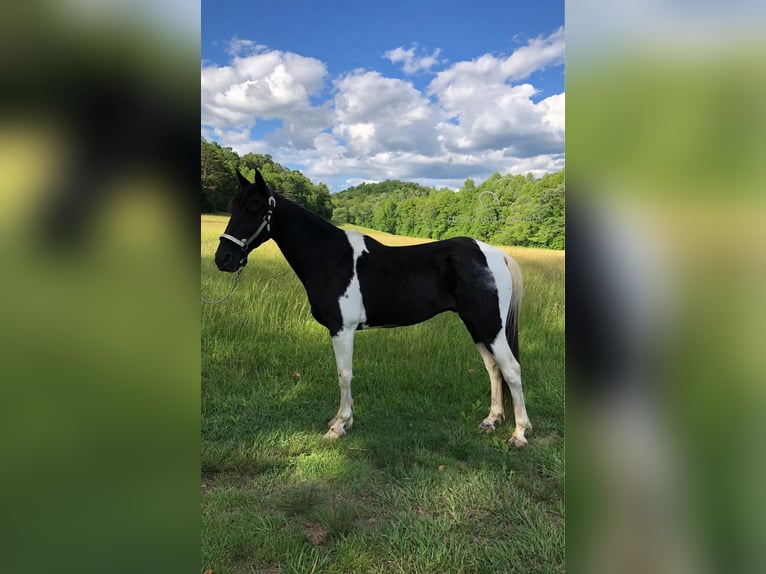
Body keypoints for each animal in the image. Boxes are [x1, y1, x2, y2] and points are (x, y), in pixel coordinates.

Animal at [214, 169, 536, 448]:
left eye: (254, 208)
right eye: (232, 206)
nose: (224, 259)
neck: (331, 258)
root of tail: (496, 255)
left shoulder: (341, 330)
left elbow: (344, 375)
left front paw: (339, 426)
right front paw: (341, 420)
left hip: (488, 326)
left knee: (511, 369)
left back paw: (519, 433)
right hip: (477, 326)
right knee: (494, 368)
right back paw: (491, 420)